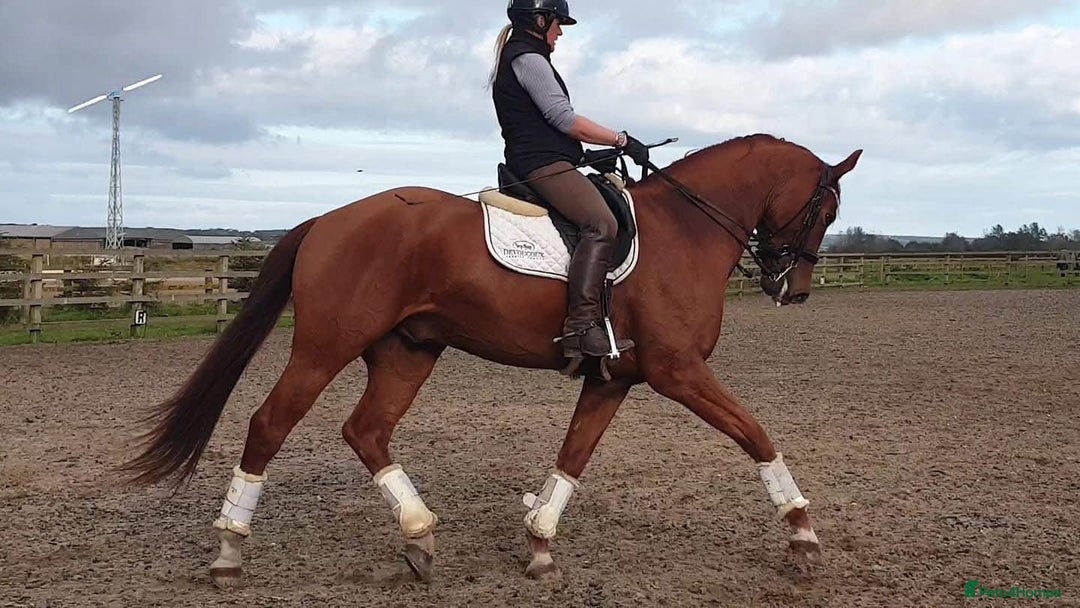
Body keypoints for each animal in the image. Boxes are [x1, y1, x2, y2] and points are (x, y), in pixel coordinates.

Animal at [121, 133, 862, 587]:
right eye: (824, 209)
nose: (792, 289)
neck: (685, 230)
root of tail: (327, 221)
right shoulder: (677, 371)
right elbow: (756, 434)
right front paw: (803, 536)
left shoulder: (615, 380)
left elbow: (573, 457)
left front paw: (539, 545)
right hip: (324, 347)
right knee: (270, 424)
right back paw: (228, 551)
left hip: (408, 350)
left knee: (366, 430)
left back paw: (419, 535)